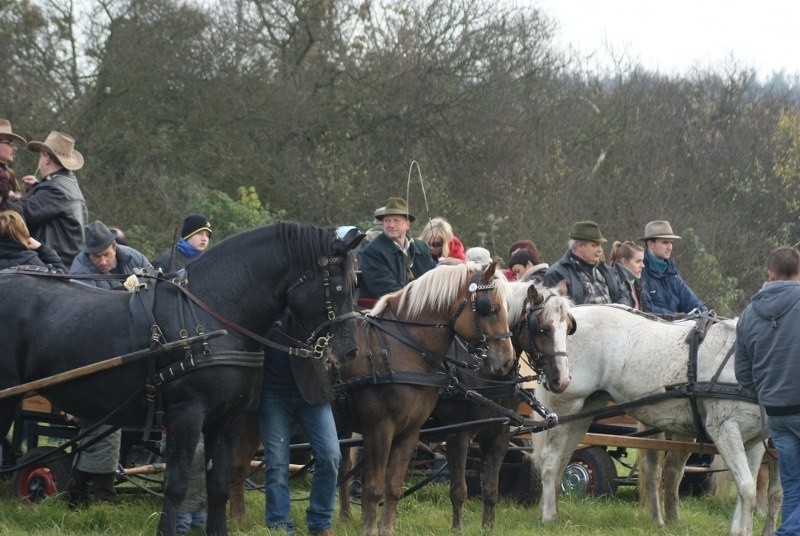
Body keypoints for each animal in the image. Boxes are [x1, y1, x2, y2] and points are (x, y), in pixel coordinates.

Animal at [0, 222, 364, 536]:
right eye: (339, 285)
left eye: (355, 284)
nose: (349, 351)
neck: (215, 313)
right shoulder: (186, 413)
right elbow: (176, 484)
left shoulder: (226, 420)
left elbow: (218, 485)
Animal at [336, 262, 512, 532]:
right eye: (490, 309)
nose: (506, 361)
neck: (401, 349)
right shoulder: (379, 430)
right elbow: (373, 488)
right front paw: (370, 529)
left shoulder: (410, 431)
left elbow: (393, 487)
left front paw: (387, 530)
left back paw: (344, 516)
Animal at [434, 280, 572, 532]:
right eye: (542, 329)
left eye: (568, 328)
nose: (562, 380)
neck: (484, 370)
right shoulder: (458, 435)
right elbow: (459, 490)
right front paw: (457, 529)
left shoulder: (499, 434)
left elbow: (490, 489)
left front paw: (488, 528)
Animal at [532, 306, 780, 536]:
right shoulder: (725, 430)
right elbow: (747, 488)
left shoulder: (754, 440)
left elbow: (751, 488)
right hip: (566, 407)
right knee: (551, 460)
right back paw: (548, 516)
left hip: (585, 411)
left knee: (564, 459)